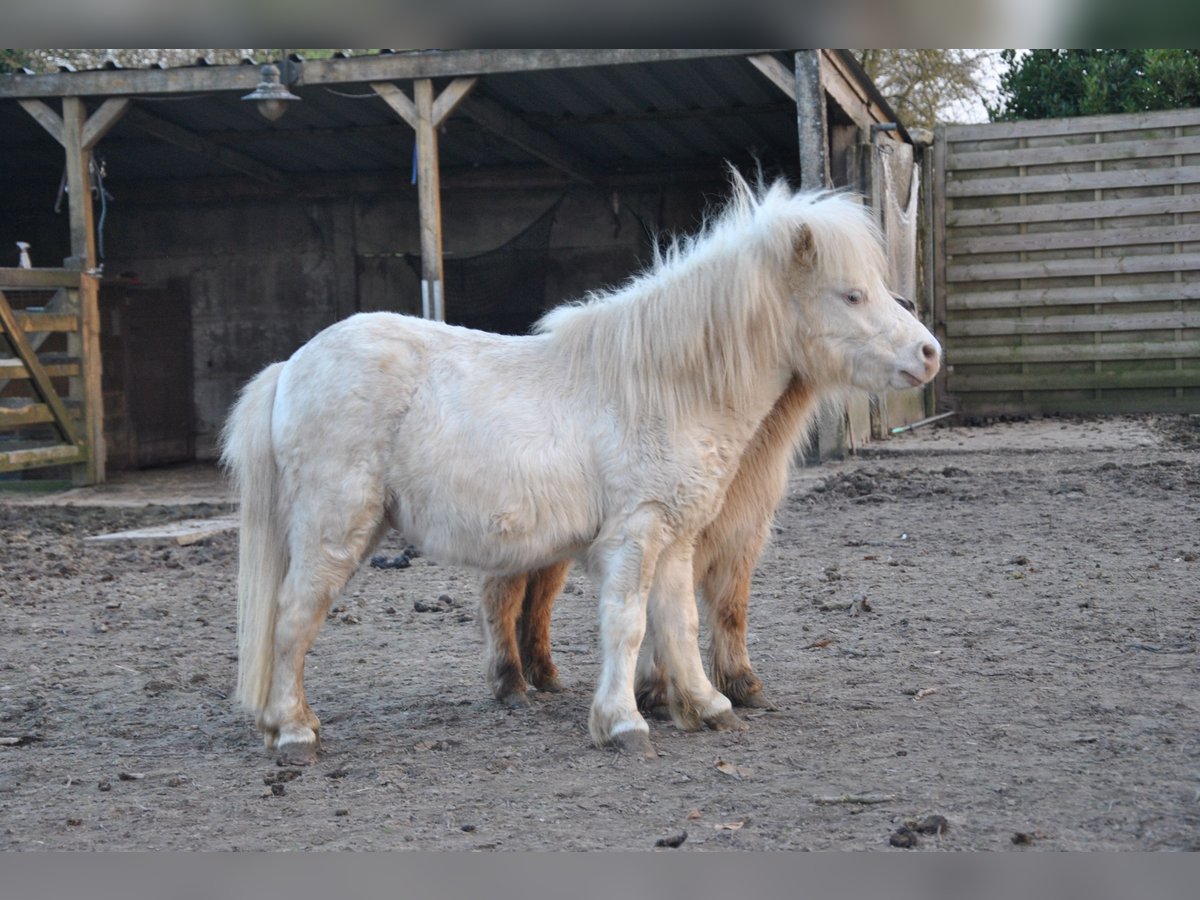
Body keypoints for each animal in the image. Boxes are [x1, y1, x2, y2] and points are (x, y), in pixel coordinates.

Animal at [221, 175, 941, 763]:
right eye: (852, 295)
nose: (928, 354)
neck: (666, 385)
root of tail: (292, 366)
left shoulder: (675, 539)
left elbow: (678, 621)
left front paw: (706, 707)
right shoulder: (635, 535)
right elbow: (627, 623)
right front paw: (624, 724)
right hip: (335, 530)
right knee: (293, 618)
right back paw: (294, 733)